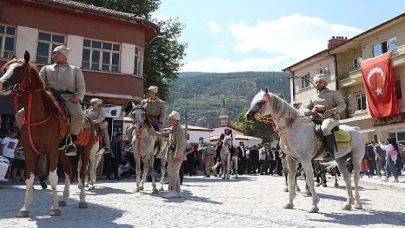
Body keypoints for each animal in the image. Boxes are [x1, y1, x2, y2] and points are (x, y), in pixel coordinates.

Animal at [0, 50, 96, 218]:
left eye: (20, 69)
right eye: (6, 69)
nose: (2, 83)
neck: (38, 116)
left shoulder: (51, 150)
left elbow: (53, 178)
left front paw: (54, 208)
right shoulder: (30, 151)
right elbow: (29, 178)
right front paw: (25, 208)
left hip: (84, 151)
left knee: (82, 174)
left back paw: (82, 201)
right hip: (63, 152)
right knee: (69, 171)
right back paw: (64, 199)